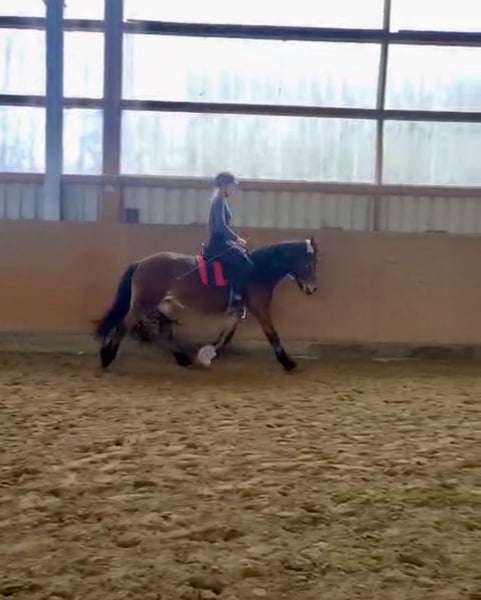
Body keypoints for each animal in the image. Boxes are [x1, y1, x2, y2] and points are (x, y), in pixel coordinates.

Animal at [94, 237, 319, 371]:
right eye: (311, 263)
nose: (313, 289)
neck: (259, 271)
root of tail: (141, 262)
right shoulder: (260, 309)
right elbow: (272, 334)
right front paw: (288, 363)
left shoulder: (237, 313)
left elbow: (226, 337)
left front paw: (206, 354)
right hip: (144, 302)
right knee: (124, 325)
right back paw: (106, 357)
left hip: (164, 304)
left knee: (165, 331)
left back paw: (182, 358)